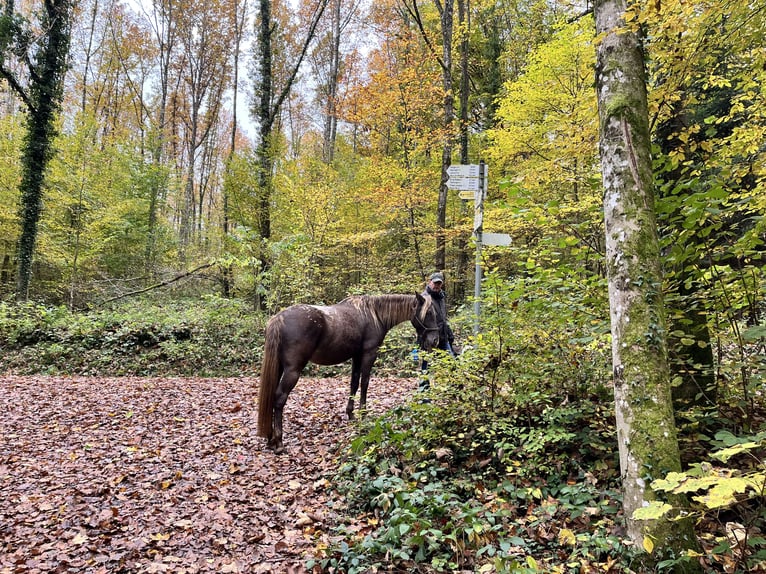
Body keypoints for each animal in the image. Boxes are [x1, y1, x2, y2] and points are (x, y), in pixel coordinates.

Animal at [257, 293, 440, 454]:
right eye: (429, 313)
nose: (435, 340)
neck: (374, 314)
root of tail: (279, 318)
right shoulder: (368, 354)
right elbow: (365, 383)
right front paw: (363, 414)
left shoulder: (356, 356)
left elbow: (354, 383)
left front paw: (351, 413)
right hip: (292, 371)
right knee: (279, 398)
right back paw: (279, 442)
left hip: (280, 367)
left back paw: (271, 439)